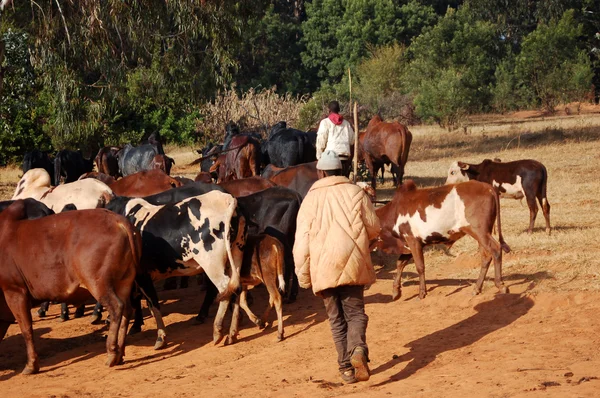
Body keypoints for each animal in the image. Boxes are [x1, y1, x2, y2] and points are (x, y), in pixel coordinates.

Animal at [0, 204, 142, 374]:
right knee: (127, 310)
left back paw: (112, 354)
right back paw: (120, 353)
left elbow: (26, 329)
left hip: (98, 283)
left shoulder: (14, 291)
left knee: (116, 307)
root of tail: (118, 220)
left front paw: (31, 365)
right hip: (124, 282)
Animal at [376, 179, 510, 300]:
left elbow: (419, 266)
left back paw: (500, 285)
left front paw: (421, 293)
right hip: (482, 234)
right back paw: (477, 288)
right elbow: (400, 263)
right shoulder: (412, 243)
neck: (395, 212)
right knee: (486, 256)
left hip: (479, 231)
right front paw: (396, 290)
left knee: (495, 249)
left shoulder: (412, 240)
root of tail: (487, 187)